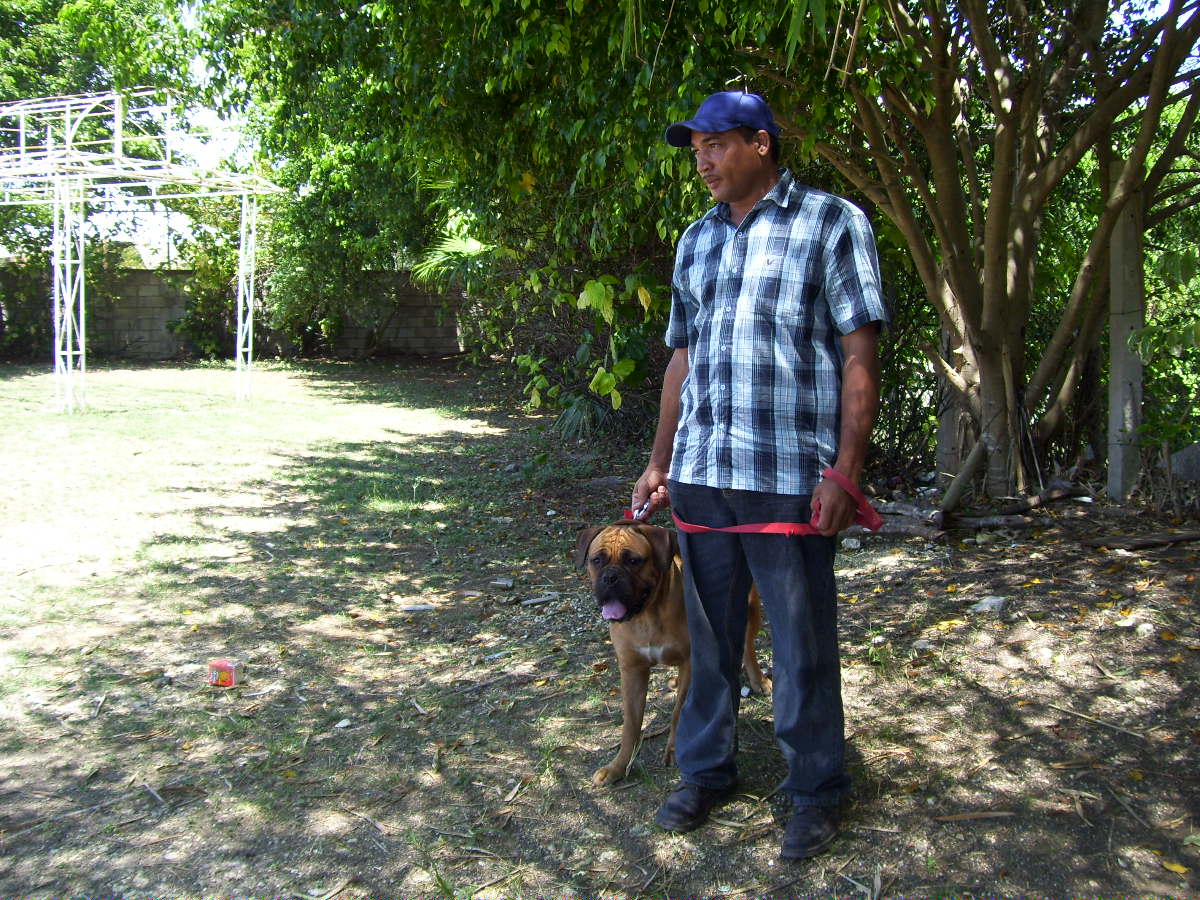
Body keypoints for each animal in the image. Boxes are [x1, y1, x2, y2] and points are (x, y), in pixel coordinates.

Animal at [575, 521, 766, 786]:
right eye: (597, 560)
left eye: (633, 560)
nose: (610, 577)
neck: (647, 615)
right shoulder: (632, 670)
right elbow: (631, 725)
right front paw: (618, 766)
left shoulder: (689, 662)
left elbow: (679, 713)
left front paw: (676, 750)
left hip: (750, 608)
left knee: (747, 645)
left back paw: (760, 680)